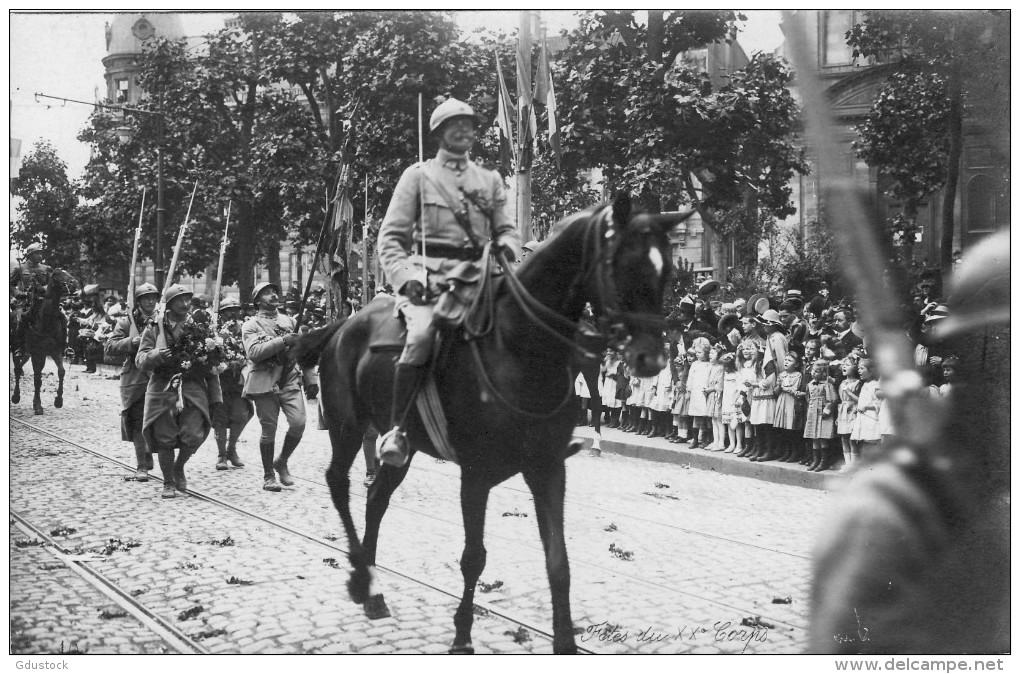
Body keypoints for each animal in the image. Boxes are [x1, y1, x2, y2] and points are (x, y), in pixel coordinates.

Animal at [10, 267, 78, 416]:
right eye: (57, 275)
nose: (74, 283)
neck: (47, 320)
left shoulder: (55, 351)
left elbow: (61, 371)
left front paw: (58, 400)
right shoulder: (38, 354)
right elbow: (37, 379)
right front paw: (38, 405)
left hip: (27, 353)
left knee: (20, 368)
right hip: (17, 349)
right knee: (17, 369)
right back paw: (16, 397)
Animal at [316, 196, 693, 648]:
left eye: (666, 270)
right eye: (622, 265)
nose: (651, 358)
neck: (522, 348)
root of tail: (344, 324)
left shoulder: (548, 468)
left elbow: (558, 562)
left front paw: (565, 644)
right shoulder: (475, 475)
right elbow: (473, 558)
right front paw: (462, 639)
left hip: (402, 450)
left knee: (376, 499)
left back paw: (373, 592)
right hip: (347, 428)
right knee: (339, 482)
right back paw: (359, 575)